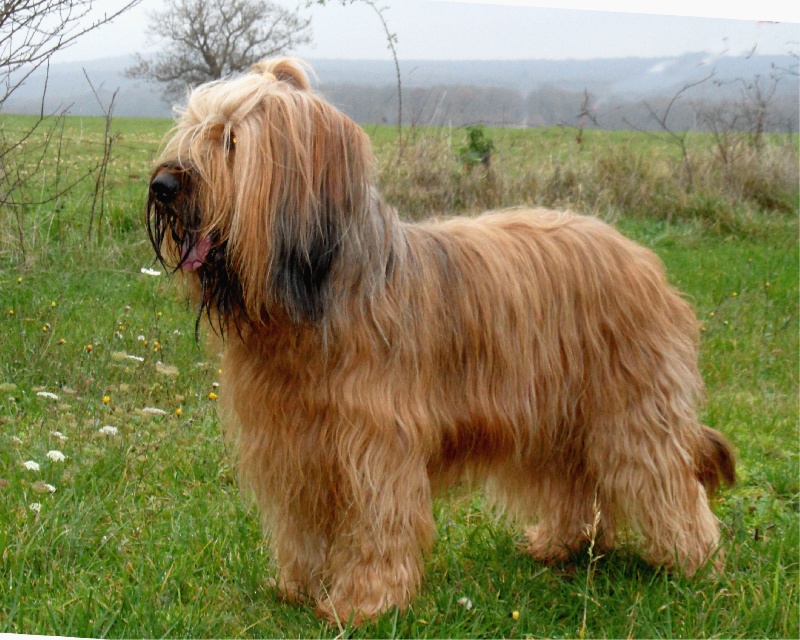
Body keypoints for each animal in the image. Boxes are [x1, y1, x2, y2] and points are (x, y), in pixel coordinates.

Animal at [147, 57, 736, 624]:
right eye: (191, 130)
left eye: (230, 140)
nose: (162, 186)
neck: (313, 302)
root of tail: (641, 259)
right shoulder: (295, 446)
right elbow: (303, 523)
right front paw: (298, 588)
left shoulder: (375, 444)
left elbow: (378, 522)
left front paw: (364, 603)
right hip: (560, 415)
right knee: (575, 481)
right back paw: (563, 544)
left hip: (631, 409)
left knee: (666, 481)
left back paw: (694, 562)